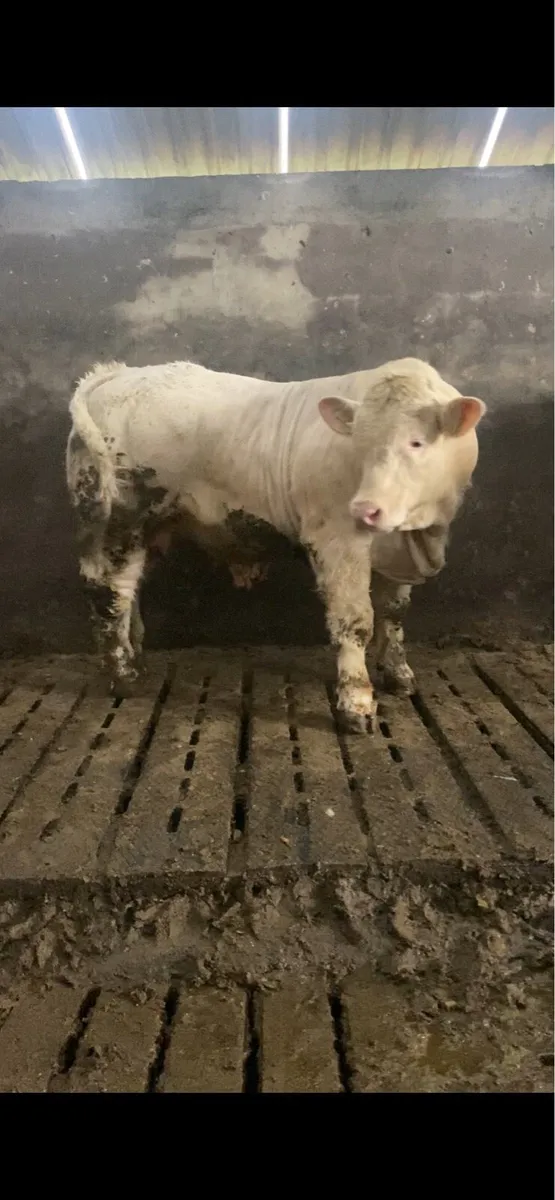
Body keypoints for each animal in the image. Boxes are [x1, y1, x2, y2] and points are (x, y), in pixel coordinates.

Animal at [66, 356, 486, 731]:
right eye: (357, 443)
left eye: (416, 442)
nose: (365, 508)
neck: (418, 535)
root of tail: (118, 374)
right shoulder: (336, 539)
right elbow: (354, 621)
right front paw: (357, 703)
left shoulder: (400, 553)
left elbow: (394, 612)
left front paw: (399, 674)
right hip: (118, 520)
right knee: (109, 593)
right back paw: (123, 675)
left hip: (149, 528)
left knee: (129, 589)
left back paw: (136, 658)